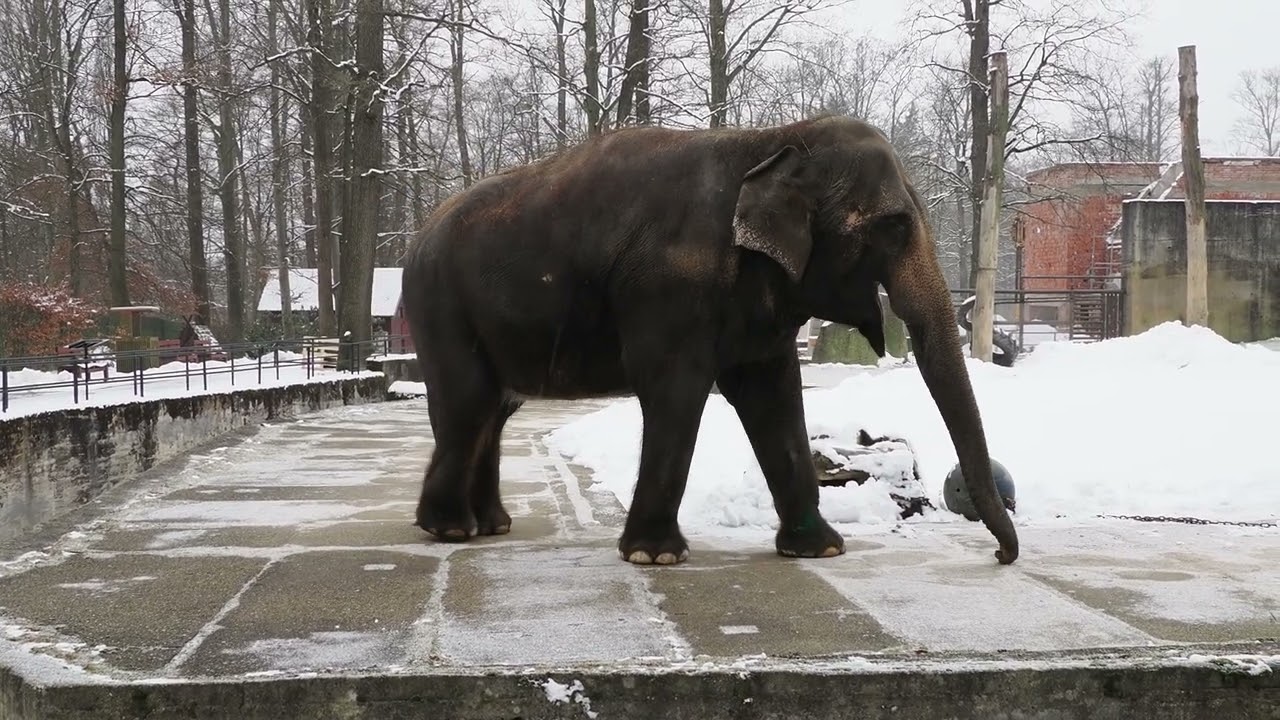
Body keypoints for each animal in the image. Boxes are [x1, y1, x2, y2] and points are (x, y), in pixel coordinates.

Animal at [400, 113, 1019, 567]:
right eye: (893, 225)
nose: (999, 556)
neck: (769, 140)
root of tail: (419, 235)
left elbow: (772, 393)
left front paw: (819, 550)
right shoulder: (669, 289)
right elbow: (676, 390)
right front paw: (654, 558)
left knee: (493, 409)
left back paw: (490, 525)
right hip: (441, 305)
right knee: (468, 402)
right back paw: (451, 530)